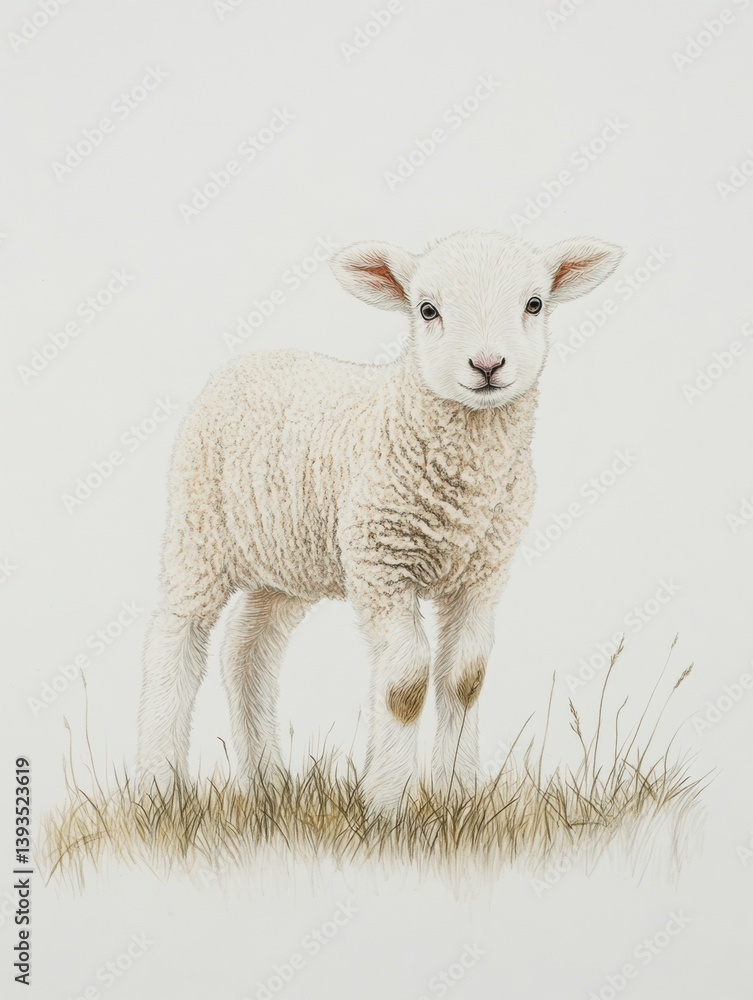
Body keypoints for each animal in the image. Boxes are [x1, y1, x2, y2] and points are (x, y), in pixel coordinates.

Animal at [136, 229, 624, 806]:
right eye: (427, 309)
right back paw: (159, 788)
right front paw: (387, 801)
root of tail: (248, 362)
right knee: (174, 641)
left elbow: (465, 679)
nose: (487, 366)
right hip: (199, 531)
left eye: (535, 304)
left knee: (246, 652)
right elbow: (405, 685)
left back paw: (269, 787)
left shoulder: (483, 573)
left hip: (289, 565)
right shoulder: (382, 564)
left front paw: (456, 795)